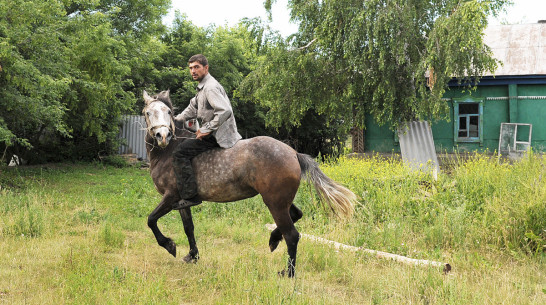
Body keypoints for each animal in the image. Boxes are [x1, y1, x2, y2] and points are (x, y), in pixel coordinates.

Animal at [142, 89, 354, 276]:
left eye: (168, 112)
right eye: (148, 112)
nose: (163, 136)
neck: (169, 152)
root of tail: (294, 153)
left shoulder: (170, 196)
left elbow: (151, 219)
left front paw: (169, 245)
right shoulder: (181, 201)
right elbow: (188, 228)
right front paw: (192, 256)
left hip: (275, 203)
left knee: (292, 236)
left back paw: (288, 273)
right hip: (281, 201)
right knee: (297, 215)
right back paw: (273, 239)